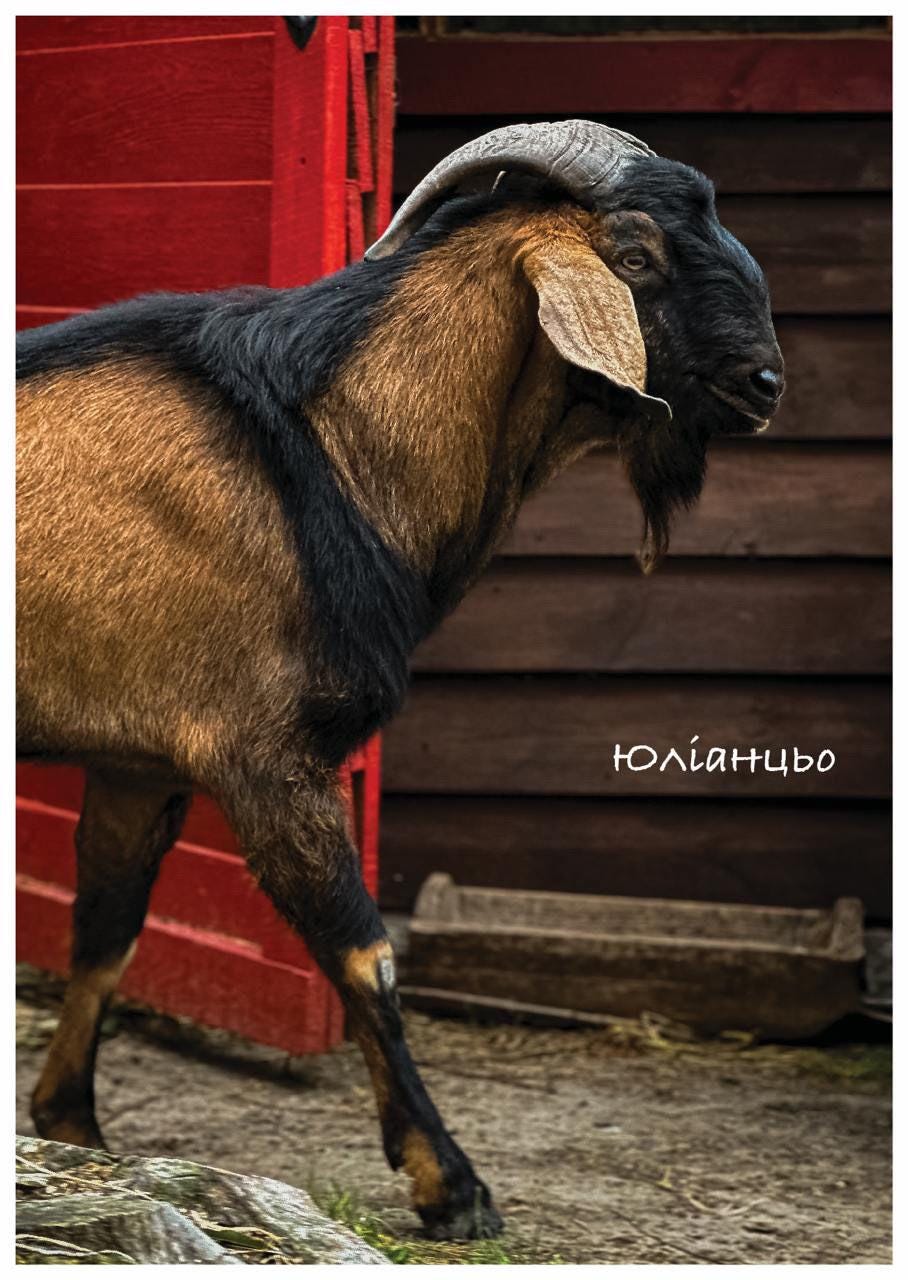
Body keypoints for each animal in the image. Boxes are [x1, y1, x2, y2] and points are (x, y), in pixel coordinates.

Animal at [17, 120, 783, 1239]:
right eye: (635, 255)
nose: (766, 383)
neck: (324, 446)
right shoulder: (266, 755)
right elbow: (363, 952)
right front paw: (452, 1186)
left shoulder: (139, 759)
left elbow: (106, 931)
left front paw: (72, 1126)